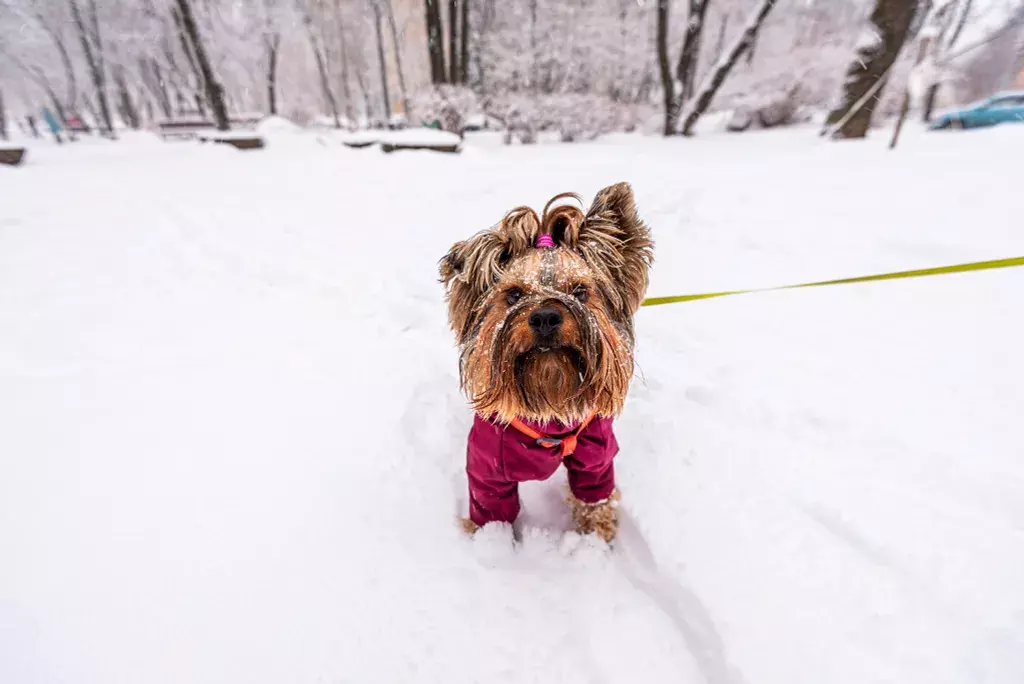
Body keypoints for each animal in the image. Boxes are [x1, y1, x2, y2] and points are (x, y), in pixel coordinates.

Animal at [442, 180, 655, 540]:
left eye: (580, 291)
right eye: (513, 294)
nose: (545, 317)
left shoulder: (597, 456)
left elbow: (594, 500)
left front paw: (595, 542)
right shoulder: (488, 467)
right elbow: (491, 508)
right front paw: (493, 542)